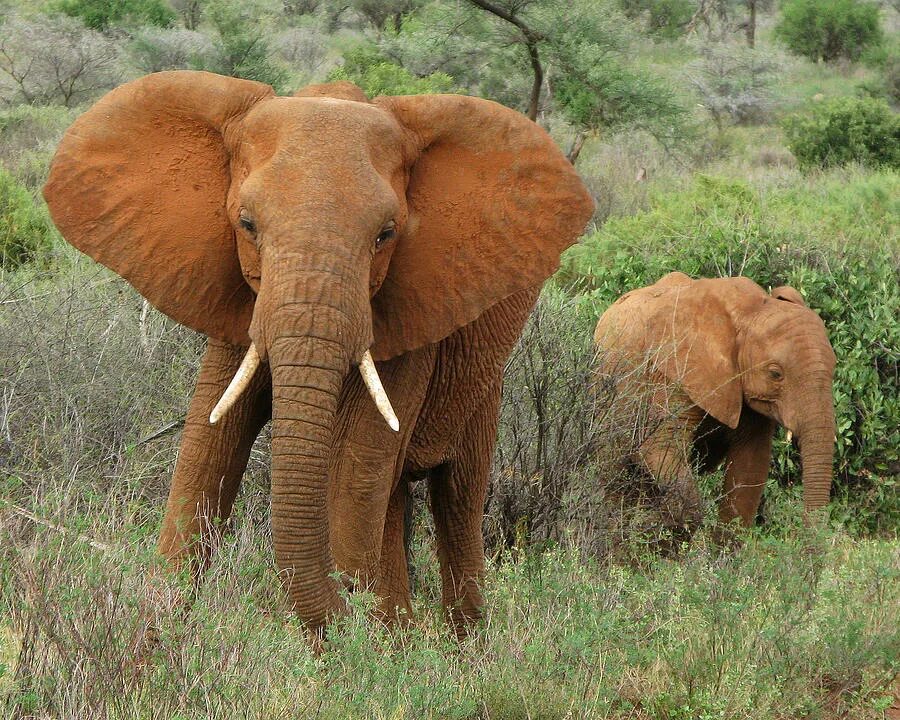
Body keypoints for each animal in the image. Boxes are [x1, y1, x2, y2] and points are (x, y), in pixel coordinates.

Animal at [42, 71, 596, 636]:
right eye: (246, 224)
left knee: (456, 495)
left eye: (386, 235)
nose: (347, 602)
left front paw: (356, 649)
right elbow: (208, 446)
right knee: (393, 496)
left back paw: (454, 645)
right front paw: (155, 635)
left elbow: (351, 467)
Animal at [592, 272, 836, 532]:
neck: (749, 312)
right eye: (775, 374)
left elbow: (750, 469)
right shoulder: (674, 371)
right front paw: (660, 527)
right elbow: (658, 449)